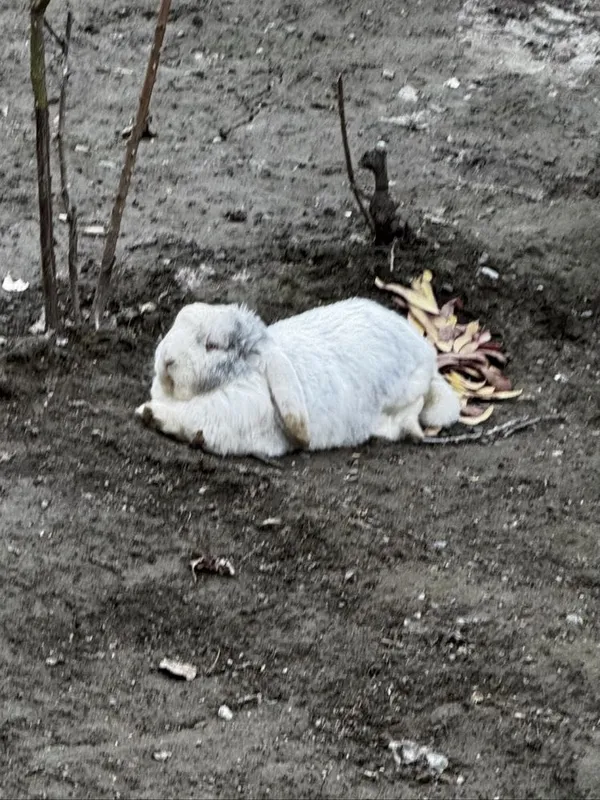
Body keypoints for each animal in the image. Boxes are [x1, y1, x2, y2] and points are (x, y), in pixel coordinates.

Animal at [135, 297, 461, 458]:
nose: (167, 360)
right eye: (177, 323)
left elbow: (188, 418)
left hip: (407, 389)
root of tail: (425, 351)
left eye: (212, 345)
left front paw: (149, 413)